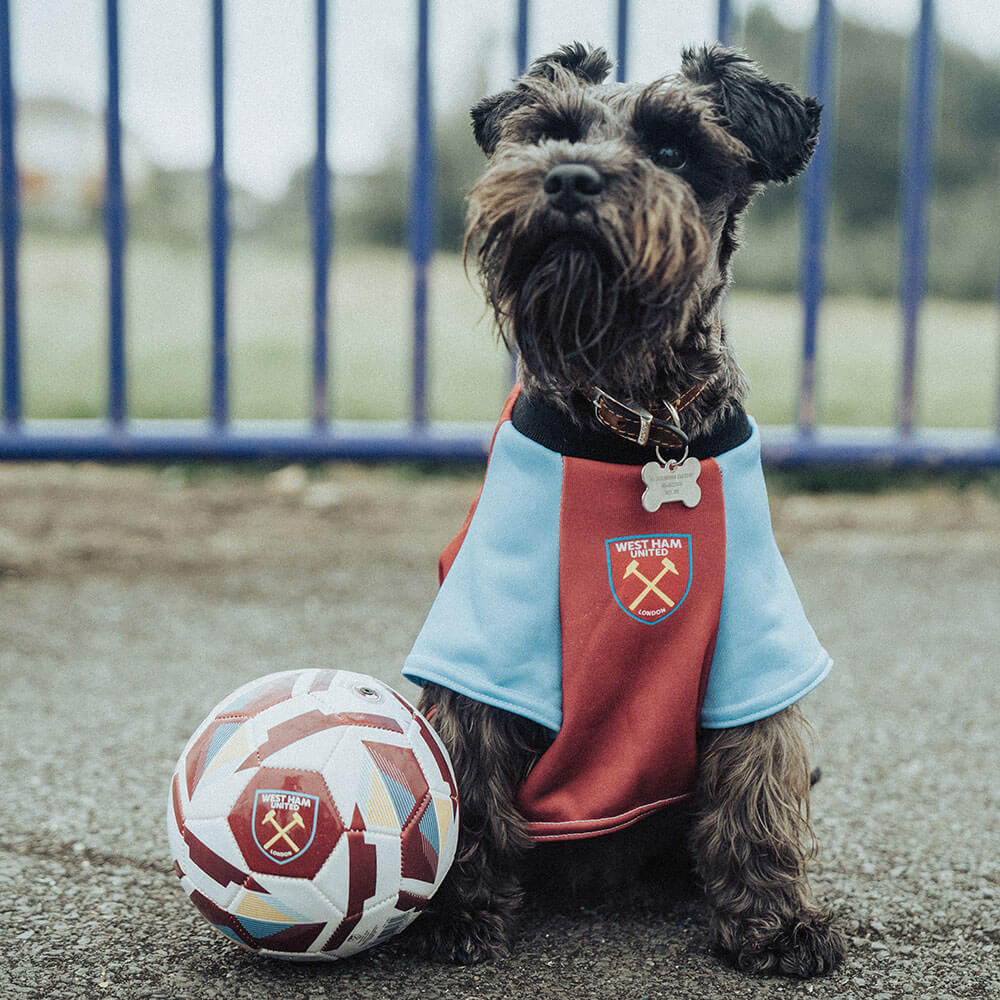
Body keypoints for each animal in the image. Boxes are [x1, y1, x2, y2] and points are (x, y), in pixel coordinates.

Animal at [398, 45, 844, 976]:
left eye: (674, 148)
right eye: (551, 130)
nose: (570, 177)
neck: (641, 418)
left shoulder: (756, 642)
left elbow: (757, 782)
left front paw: (775, 920)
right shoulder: (488, 635)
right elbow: (470, 768)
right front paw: (459, 910)